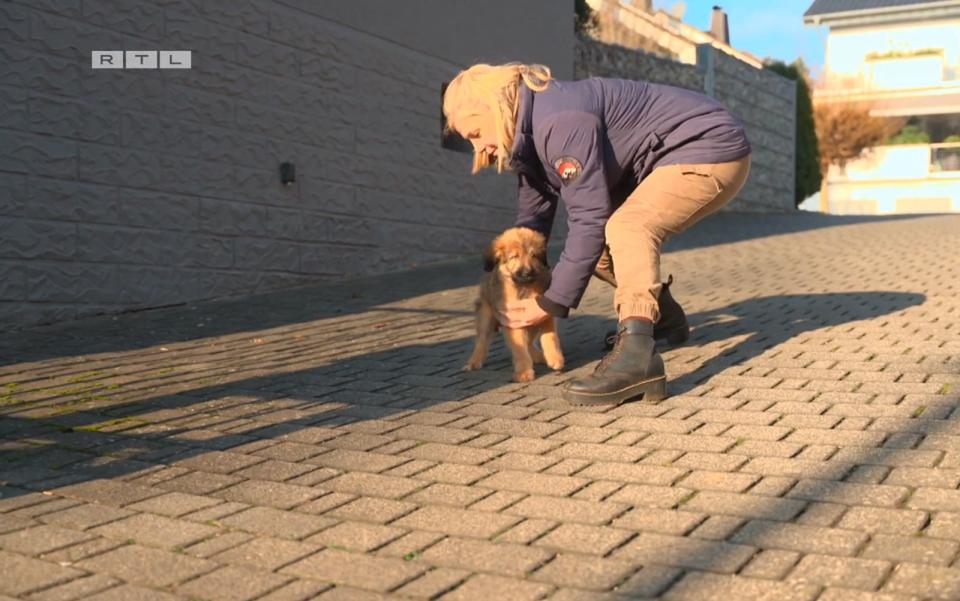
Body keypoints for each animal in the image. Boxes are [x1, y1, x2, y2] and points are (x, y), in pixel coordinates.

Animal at [464, 225, 564, 380]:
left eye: (534, 256)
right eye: (514, 257)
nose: (528, 273)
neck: (524, 287)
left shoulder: (543, 312)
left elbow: (550, 337)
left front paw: (555, 358)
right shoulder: (514, 321)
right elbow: (519, 348)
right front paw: (524, 372)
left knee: (529, 342)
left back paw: (539, 356)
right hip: (486, 317)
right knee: (481, 340)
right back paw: (474, 361)